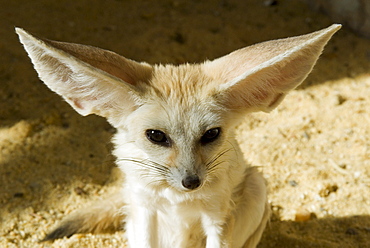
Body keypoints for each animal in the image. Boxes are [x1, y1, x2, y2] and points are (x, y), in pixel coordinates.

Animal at [16, 23, 342, 248]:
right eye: (156, 136)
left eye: (211, 134)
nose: (191, 182)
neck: (177, 198)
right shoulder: (144, 209)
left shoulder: (218, 217)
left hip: (257, 185)